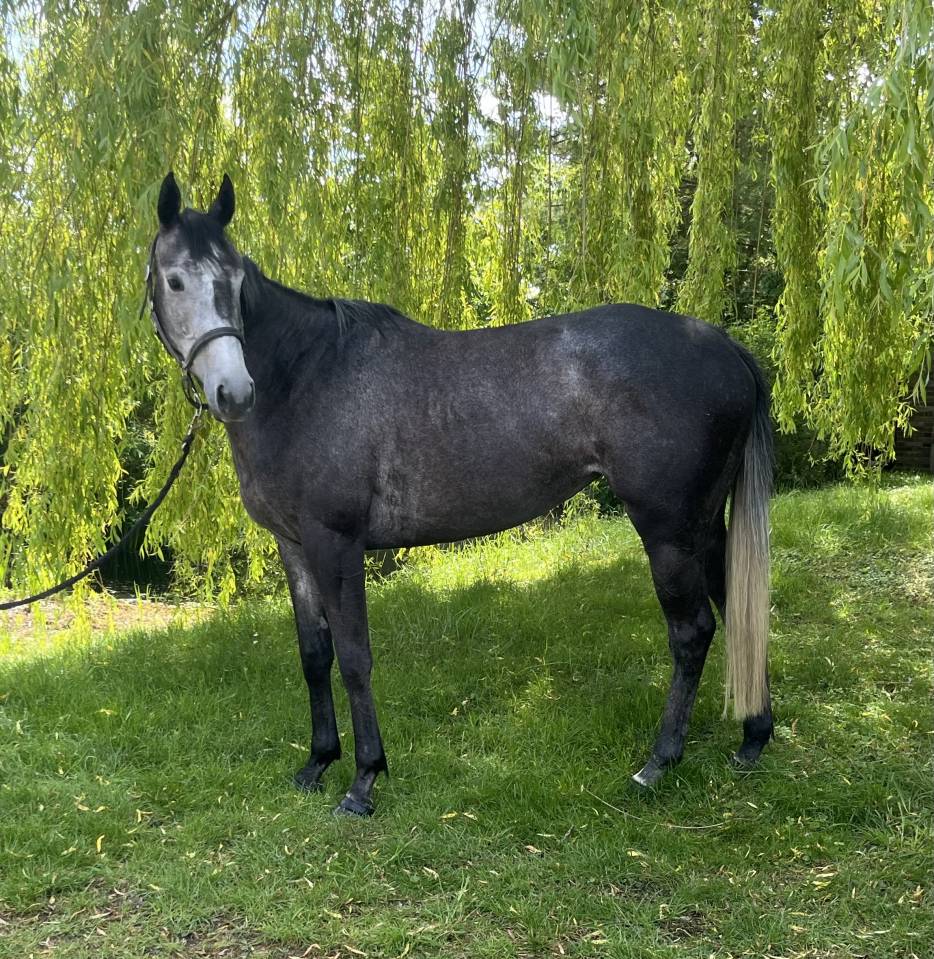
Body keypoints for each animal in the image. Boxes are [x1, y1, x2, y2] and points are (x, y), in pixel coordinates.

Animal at [146, 172, 774, 816]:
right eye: (175, 280)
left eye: (234, 281)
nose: (232, 391)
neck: (304, 378)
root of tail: (724, 346)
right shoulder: (294, 545)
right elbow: (315, 654)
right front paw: (317, 763)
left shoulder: (336, 544)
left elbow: (354, 657)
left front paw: (363, 780)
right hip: (706, 525)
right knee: (737, 607)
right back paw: (753, 736)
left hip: (669, 530)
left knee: (693, 631)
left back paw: (659, 762)